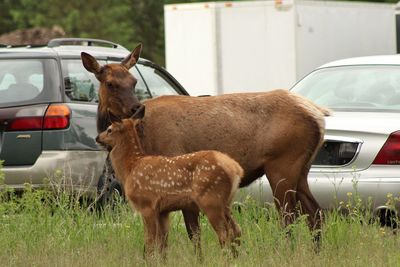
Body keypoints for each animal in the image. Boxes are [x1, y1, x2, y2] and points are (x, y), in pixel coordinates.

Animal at [96, 106, 244, 260]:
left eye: (109, 129)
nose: (97, 138)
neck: (131, 167)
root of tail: (236, 169)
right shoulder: (163, 211)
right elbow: (163, 244)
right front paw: (162, 261)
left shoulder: (147, 204)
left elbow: (150, 242)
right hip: (226, 203)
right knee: (237, 230)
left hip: (210, 199)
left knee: (224, 234)